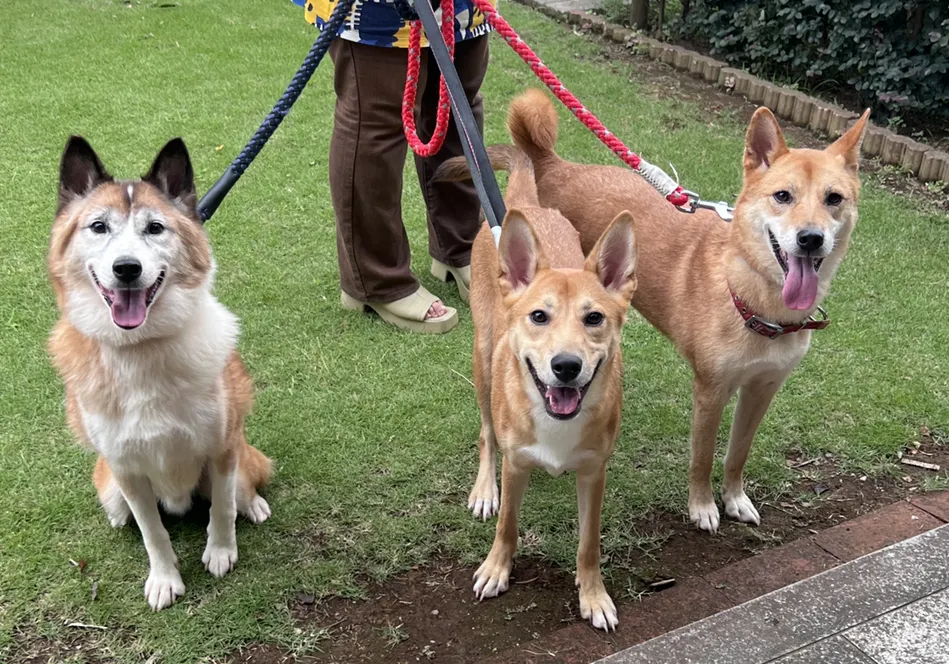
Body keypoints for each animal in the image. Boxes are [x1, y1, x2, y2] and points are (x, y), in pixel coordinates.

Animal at [47, 136, 272, 610]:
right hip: (109, 489)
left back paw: (255, 506)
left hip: (242, 457)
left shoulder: (222, 448)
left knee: (243, 489)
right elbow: (153, 531)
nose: (127, 268)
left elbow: (221, 509)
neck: (141, 350)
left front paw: (220, 552)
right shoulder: (126, 469)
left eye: (155, 228)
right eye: (98, 227)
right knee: (126, 516)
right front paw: (165, 579)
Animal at [439, 88, 869, 534]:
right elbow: (702, 457)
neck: (754, 300)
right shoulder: (710, 391)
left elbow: (737, 453)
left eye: (834, 199)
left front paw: (734, 497)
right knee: (489, 427)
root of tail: (552, 163)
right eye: (783, 196)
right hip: (488, 352)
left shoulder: (763, 388)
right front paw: (702, 506)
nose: (810, 238)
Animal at [464, 102, 638, 630]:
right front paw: (496, 569)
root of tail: (522, 207)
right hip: (482, 358)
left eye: (594, 318)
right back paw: (484, 488)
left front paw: (593, 594)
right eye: (539, 316)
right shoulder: (518, 462)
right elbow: (507, 525)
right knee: (485, 432)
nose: (565, 366)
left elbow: (589, 543)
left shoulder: (594, 473)